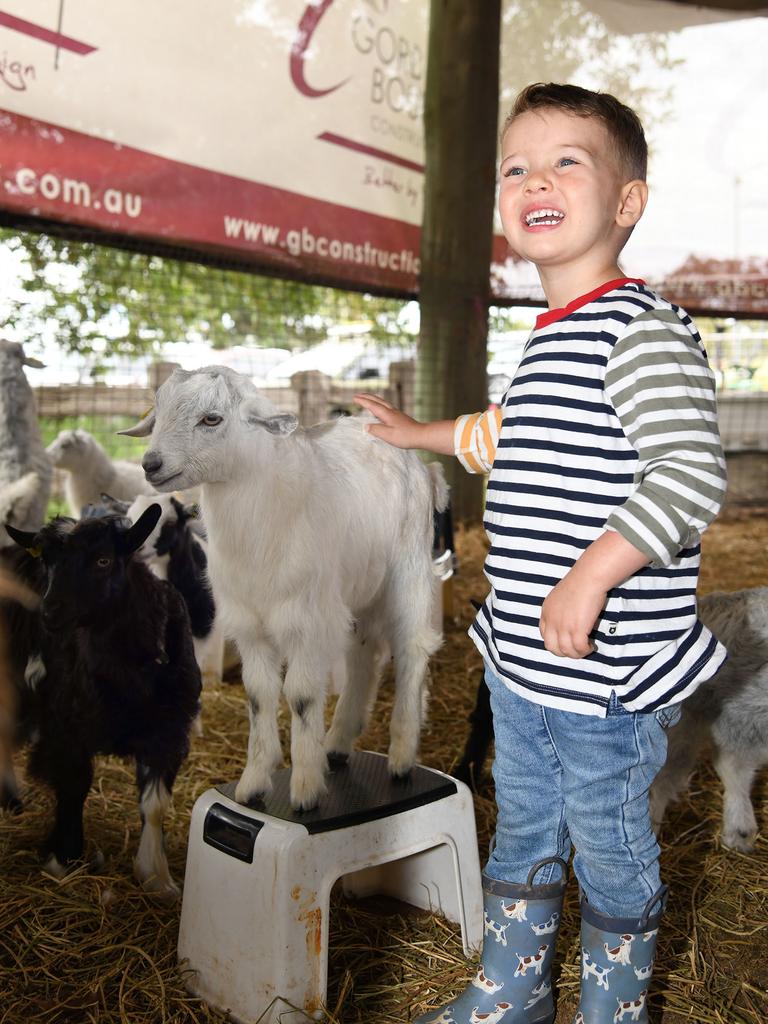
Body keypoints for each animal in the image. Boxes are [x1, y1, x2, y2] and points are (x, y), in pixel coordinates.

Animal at [3, 507, 201, 901]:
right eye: (47, 562)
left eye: (103, 560)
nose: (49, 612)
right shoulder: (65, 727)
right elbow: (74, 785)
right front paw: (64, 856)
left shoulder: (169, 732)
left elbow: (155, 806)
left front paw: (157, 877)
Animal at [122, 366, 448, 806]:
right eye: (157, 414)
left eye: (212, 418)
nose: (151, 464)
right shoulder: (250, 623)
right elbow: (260, 696)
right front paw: (254, 782)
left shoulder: (305, 620)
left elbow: (301, 696)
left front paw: (306, 787)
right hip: (356, 588)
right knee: (365, 655)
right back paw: (339, 743)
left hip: (408, 571)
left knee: (412, 649)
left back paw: (400, 756)